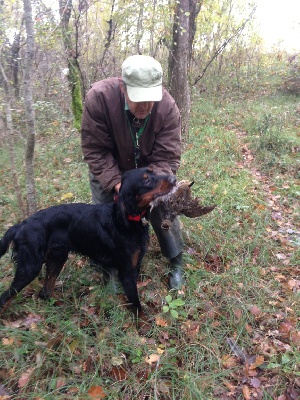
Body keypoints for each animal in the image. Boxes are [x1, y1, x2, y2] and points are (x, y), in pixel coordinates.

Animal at [0, 166, 176, 316]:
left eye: (153, 171)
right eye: (146, 180)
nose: (174, 178)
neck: (124, 219)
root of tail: (21, 225)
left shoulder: (135, 264)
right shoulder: (126, 270)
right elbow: (137, 305)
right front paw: (143, 326)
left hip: (57, 258)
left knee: (45, 292)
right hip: (30, 267)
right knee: (6, 297)